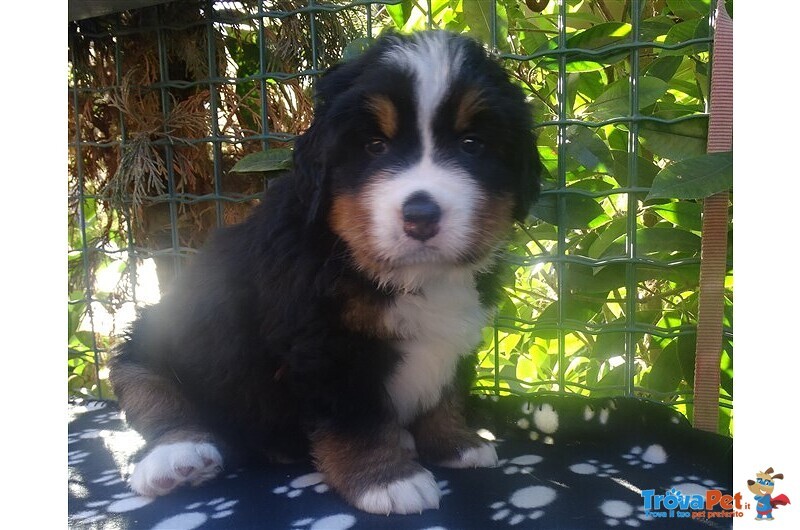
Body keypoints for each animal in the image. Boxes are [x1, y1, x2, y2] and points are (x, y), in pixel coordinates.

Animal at [109, 28, 540, 512]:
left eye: (471, 144)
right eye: (375, 146)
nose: (421, 215)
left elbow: (442, 394)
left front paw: (455, 442)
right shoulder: (324, 344)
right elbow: (355, 417)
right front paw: (387, 480)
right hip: (151, 336)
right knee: (151, 394)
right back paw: (177, 457)